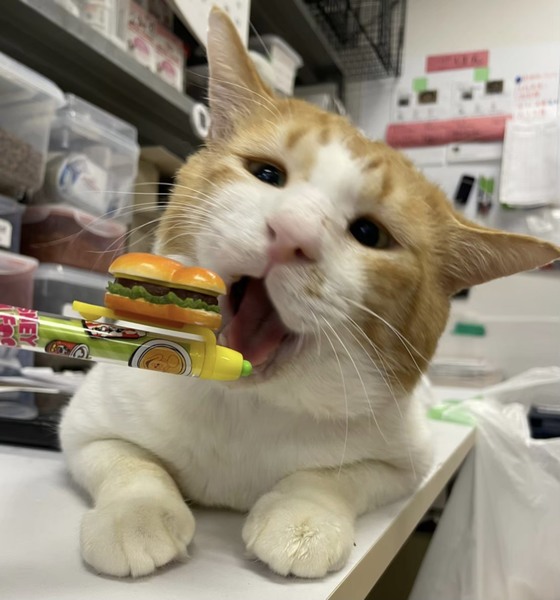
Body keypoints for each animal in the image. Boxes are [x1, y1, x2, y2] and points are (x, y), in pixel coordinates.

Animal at [59, 7, 560, 580]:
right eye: (266, 173)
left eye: (369, 234)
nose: (291, 233)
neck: (242, 404)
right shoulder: (83, 424)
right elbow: (127, 461)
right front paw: (137, 512)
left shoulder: (404, 463)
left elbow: (332, 477)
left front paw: (302, 519)